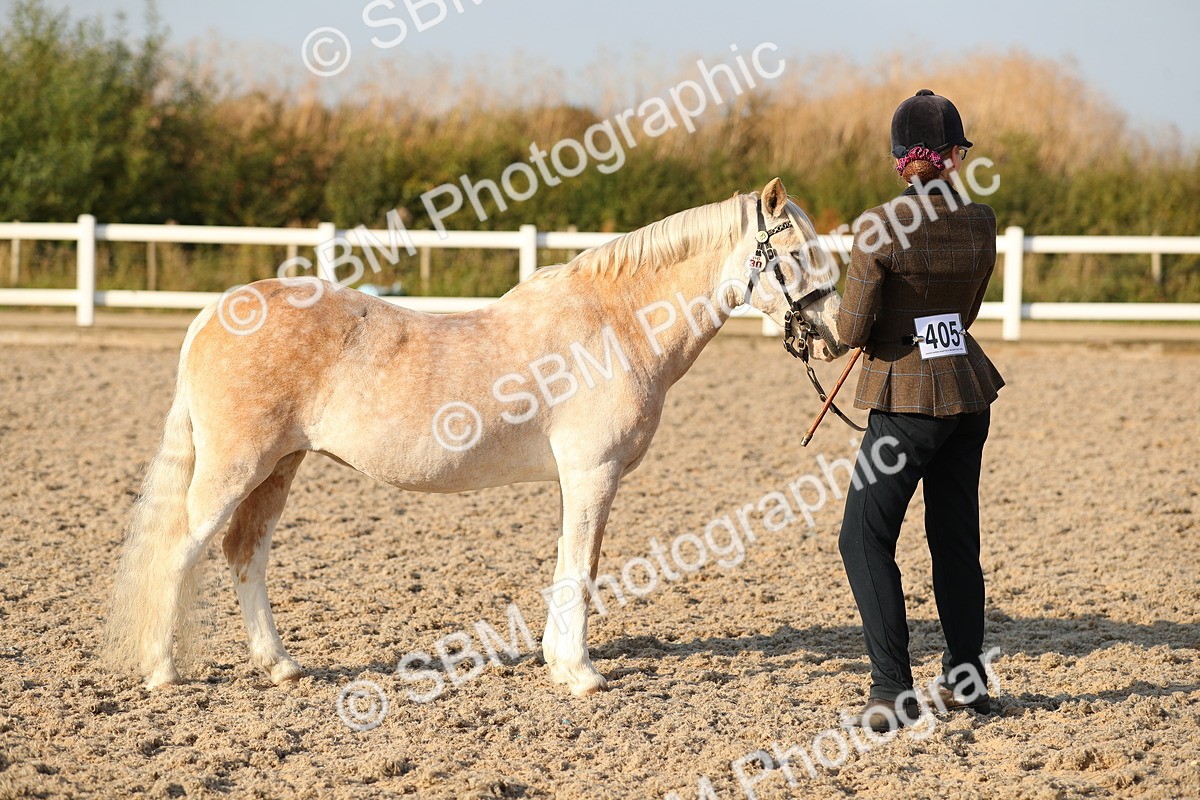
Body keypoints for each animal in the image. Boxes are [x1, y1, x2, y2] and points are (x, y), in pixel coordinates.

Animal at [105, 177, 848, 696]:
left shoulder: (579, 479)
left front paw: (557, 662)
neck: (616, 325)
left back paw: (282, 666)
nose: (839, 332)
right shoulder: (593, 472)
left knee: (245, 554)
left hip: (280, 466)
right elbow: (583, 568)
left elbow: (566, 566)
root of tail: (214, 312)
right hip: (235, 467)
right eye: (796, 252)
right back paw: (163, 672)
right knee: (181, 552)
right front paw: (582, 675)